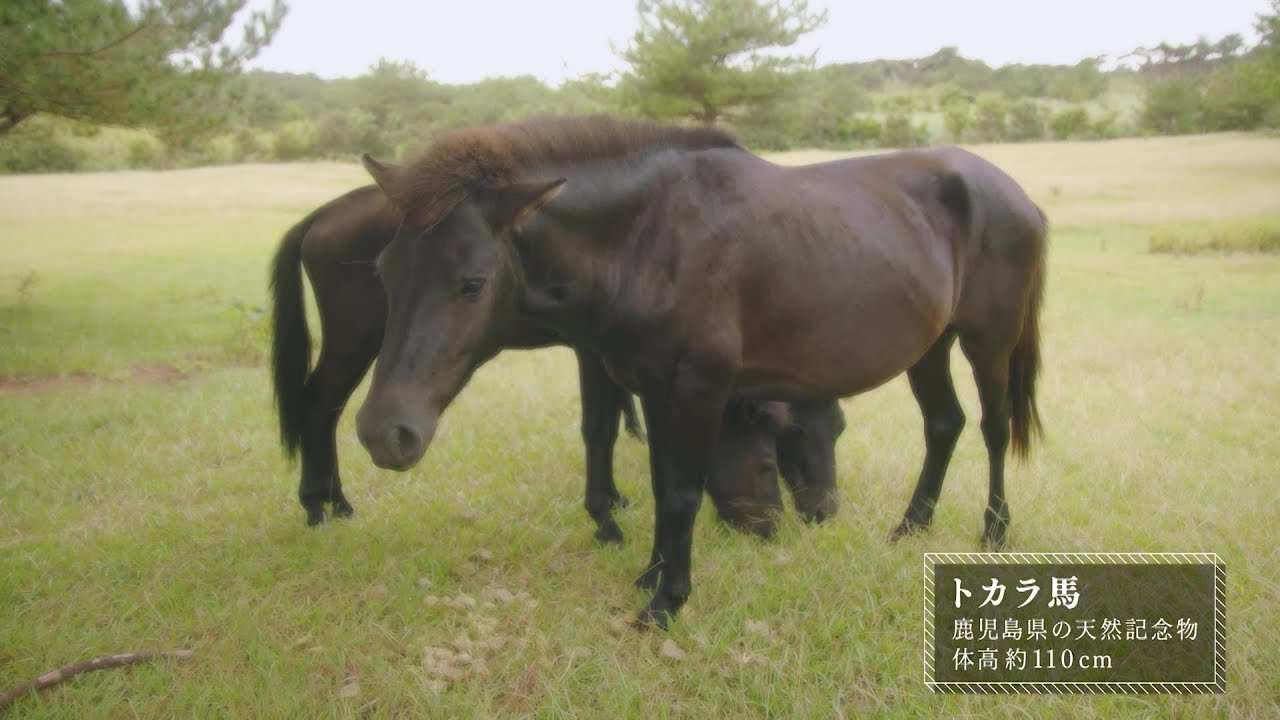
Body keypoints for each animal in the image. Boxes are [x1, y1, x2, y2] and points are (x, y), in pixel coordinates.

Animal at [268, 184, 842, 541]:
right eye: (788, 441)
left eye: (837, 431)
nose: (823, 512)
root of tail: (322, 215)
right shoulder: (594, 353)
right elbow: (598, 428)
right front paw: (604, 518)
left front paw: (614, 499)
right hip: (354, 340)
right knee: (319, 404)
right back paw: (319, 505)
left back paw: (335, 501)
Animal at [353, 115, 1046, 628]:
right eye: (383, 271)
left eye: (471, 283)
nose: (384, 433)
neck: (653, 237)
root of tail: (1014, 194)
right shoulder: (655, 390)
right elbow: (665, 485)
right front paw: (651, 575)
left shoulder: (698, 387)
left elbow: (684, 492)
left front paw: (666, 603)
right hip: (930, 346)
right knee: (943, 424)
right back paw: (909, 528)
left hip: (988, 341)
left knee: (991, 427)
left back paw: (993, 534)